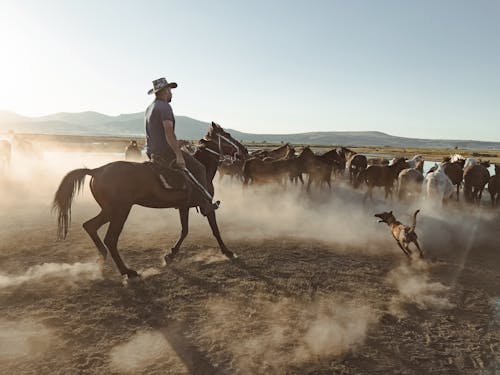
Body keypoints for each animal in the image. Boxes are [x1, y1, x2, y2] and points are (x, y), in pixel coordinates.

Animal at [53, 123, 246, 280]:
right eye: (228, 134)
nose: (244, 151)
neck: (202, 166)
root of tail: (96, 170)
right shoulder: (207, 205)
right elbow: (215, 230)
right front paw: (227, 251)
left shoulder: (184, 207)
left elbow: (184, 231)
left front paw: (170, 255)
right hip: (120, 211)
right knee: (110, 239)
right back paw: (127, 271)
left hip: (109, 211)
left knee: (90, 226)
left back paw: (102, 258)